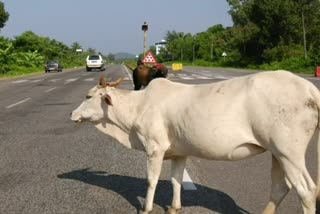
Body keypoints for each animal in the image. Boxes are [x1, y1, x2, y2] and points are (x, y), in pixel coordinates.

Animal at [71, 70, 320, 214]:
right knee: (280, 188)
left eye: (88, 96)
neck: (137, 107)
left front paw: (146, 208)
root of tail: (309, 87)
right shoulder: (179, 151)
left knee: (306, 191)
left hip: (289, 152)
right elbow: (176, 180)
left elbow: (152, 180)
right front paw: (174, 207)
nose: (73, 114)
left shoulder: (154, 148)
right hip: (276, 152)